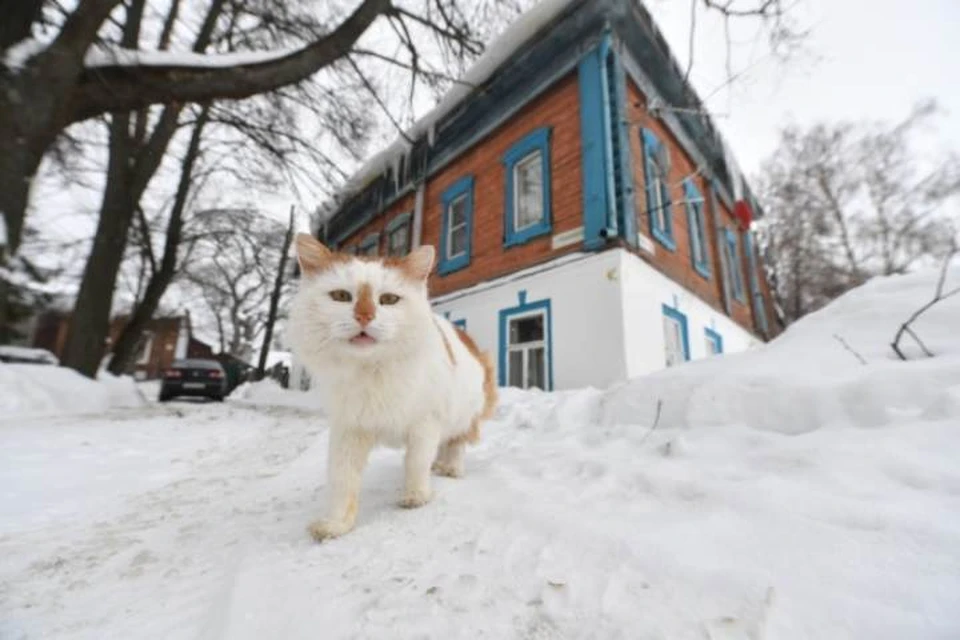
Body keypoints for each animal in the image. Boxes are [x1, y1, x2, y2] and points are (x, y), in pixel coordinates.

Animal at [288, 235, 498, 540]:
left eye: (388, 300)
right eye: (341, 296)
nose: (365, 316)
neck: (371, 370)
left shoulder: (425, 423)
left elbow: (416, 462)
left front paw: (415, 497)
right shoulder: (348, 429)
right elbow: (342, 479)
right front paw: (335, 525)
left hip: (466, 412)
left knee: (456, 443)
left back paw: (451, 468)